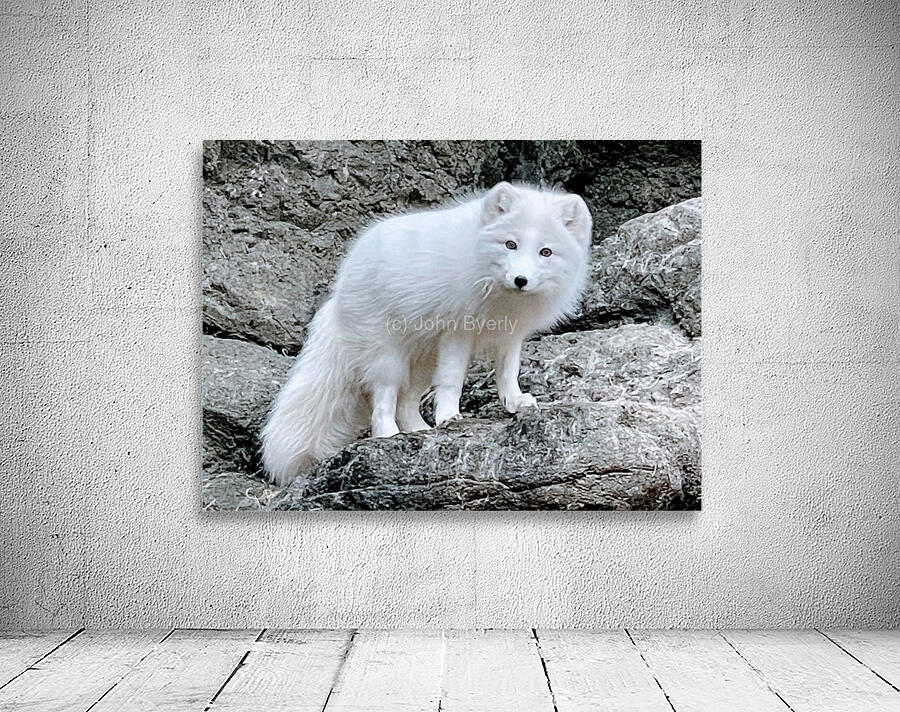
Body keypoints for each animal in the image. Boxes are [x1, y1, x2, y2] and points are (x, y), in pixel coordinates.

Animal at [261, 181, 592, 487]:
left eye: (546, 252)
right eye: (510, 244)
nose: (520, 279)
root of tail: (340, 288)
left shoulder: (511, 335)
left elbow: (508, 373)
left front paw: (515, 402)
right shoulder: (458, 330)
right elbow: (452, 380)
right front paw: (448, 416)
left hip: (422, 360)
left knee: (407, 401)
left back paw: (418, 431)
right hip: (387, 357)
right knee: (382, 397)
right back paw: (388, 434)